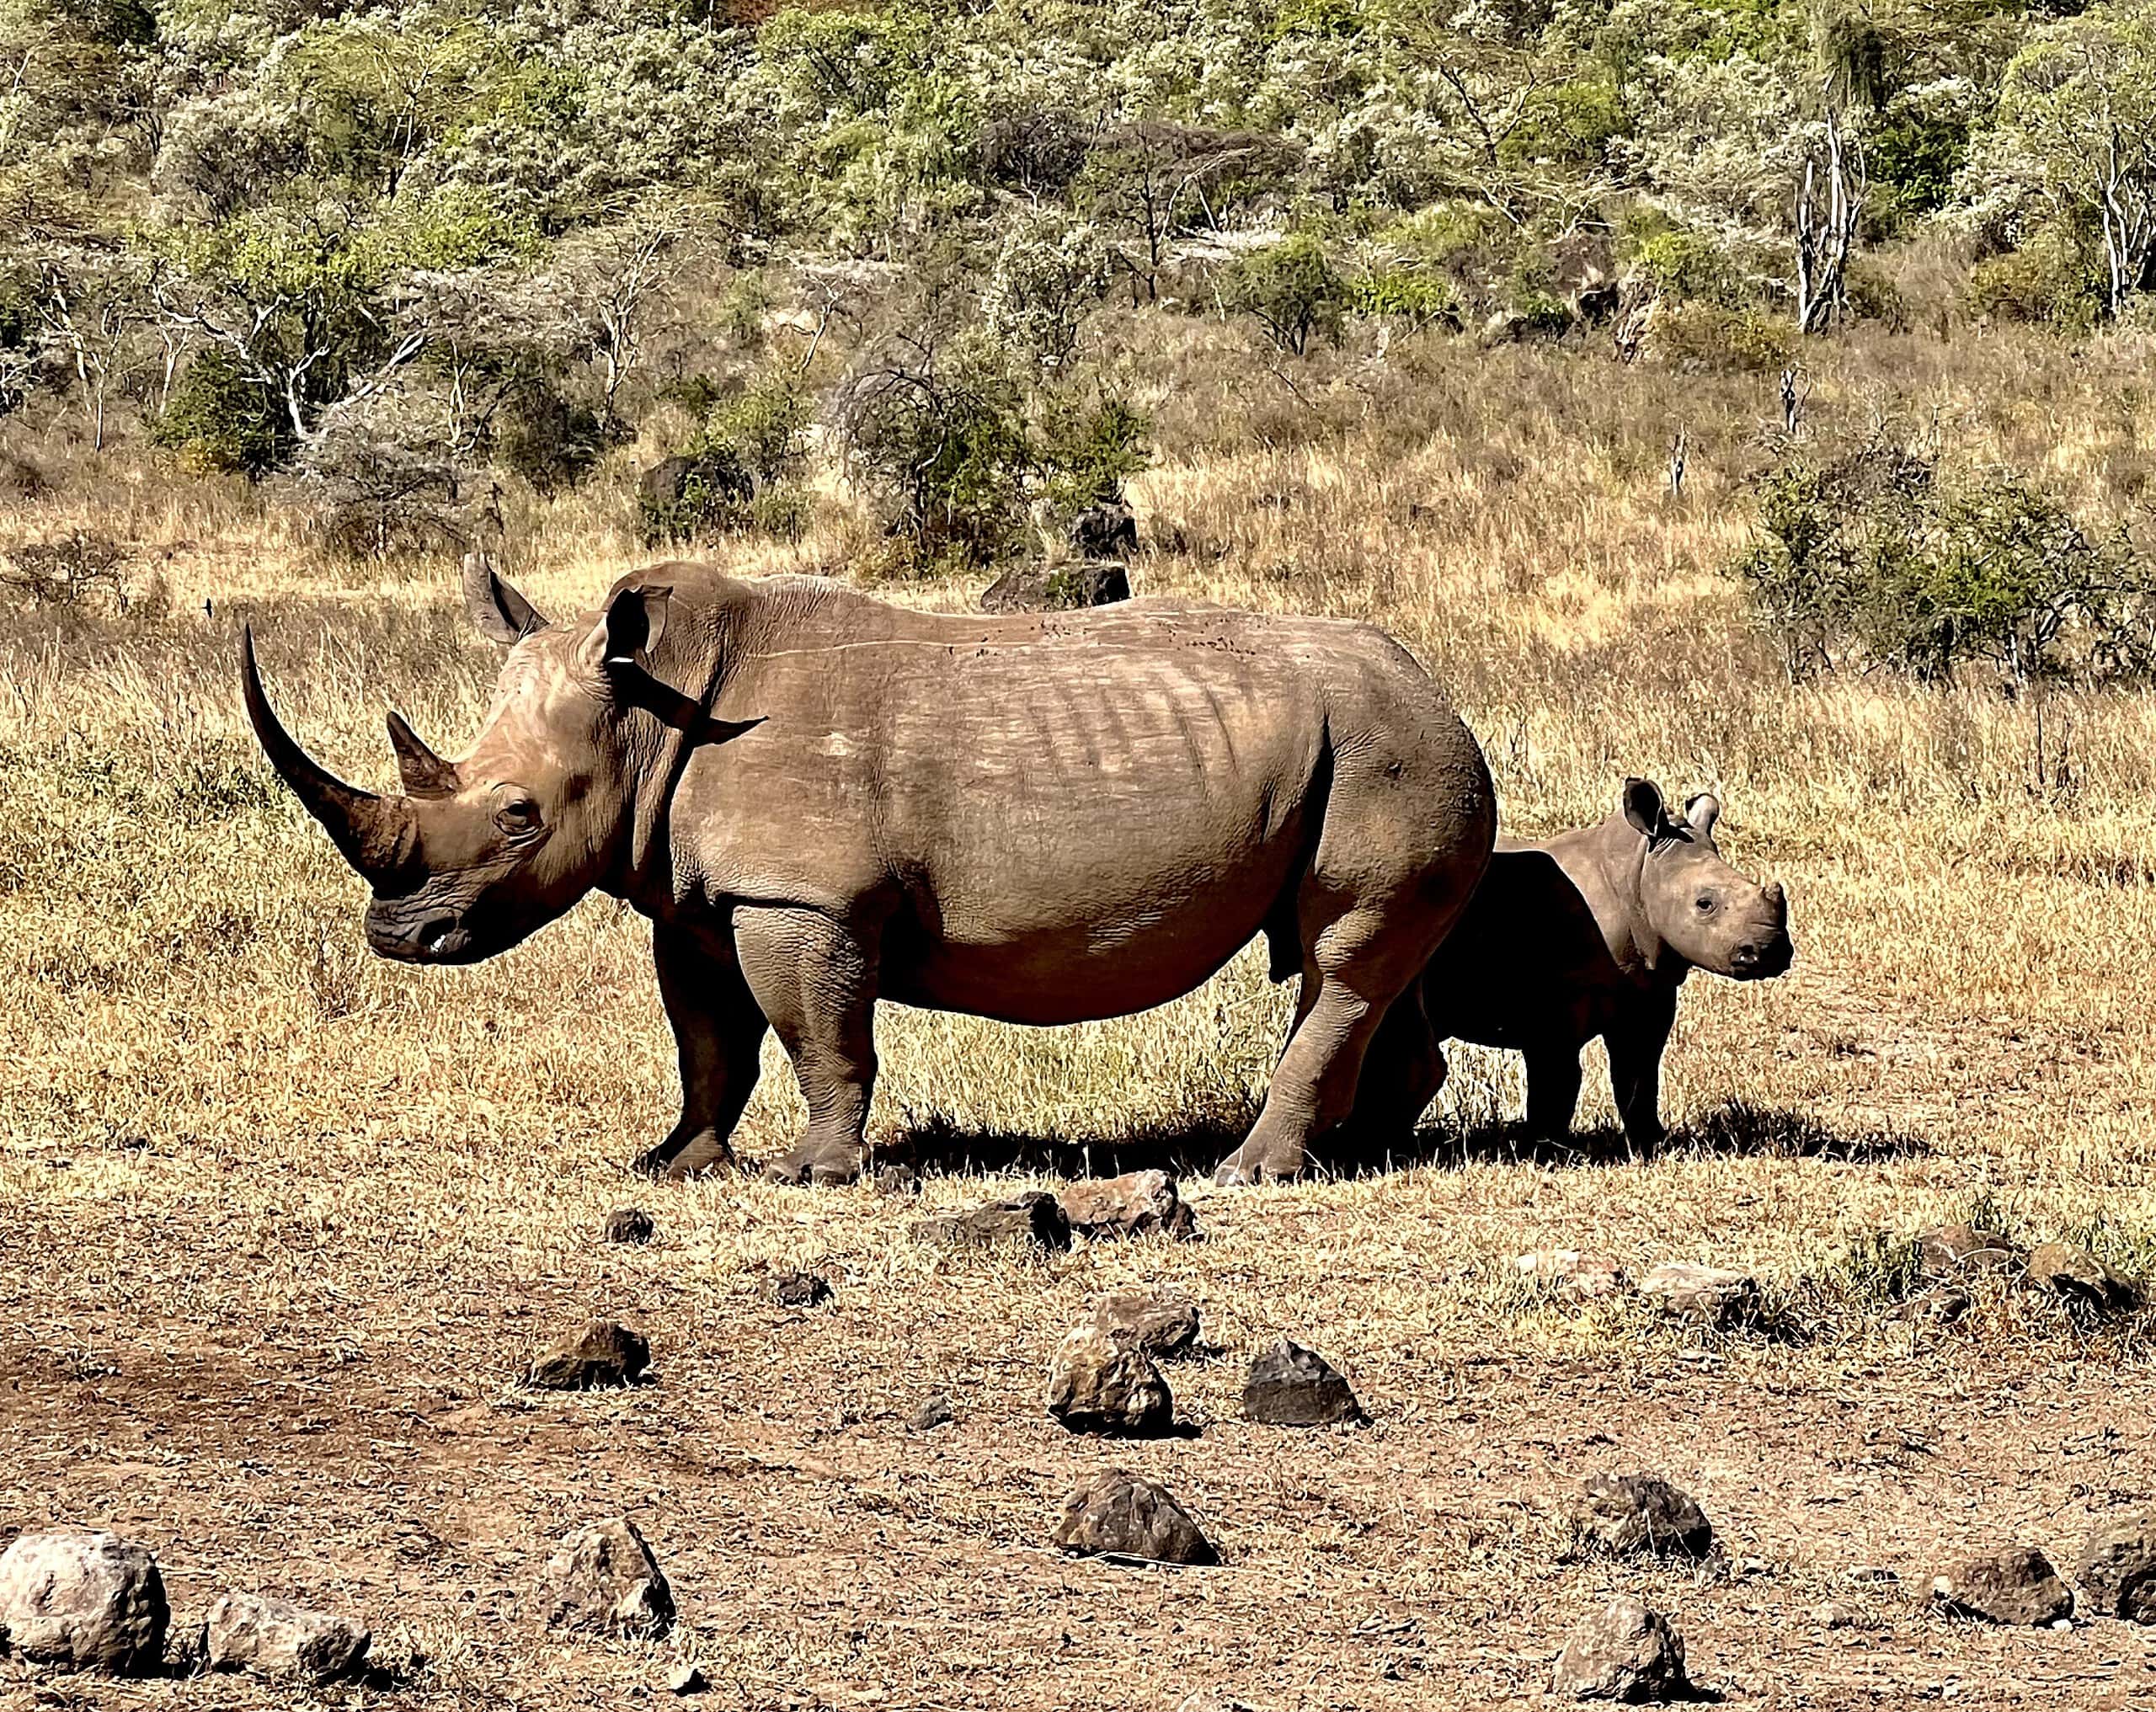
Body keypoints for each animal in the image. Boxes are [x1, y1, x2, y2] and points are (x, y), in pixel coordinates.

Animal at [242, 555, 1496, 1185]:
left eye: (516, 818)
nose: (397, 937)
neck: (647, 716)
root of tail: (1445, 692)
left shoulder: (803, 898)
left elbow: (818, 1035)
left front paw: (817, 1172)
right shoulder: (694, 900)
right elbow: (709, 1041)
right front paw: (674, 1163)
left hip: (1391, 752)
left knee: (1338, 957)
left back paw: (1253, 1172)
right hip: (1379, 748)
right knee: (1364, 964)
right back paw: (1363, 1152)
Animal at [1419, 779, 1792, 1146]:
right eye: (1704, 904)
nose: (1770, 951)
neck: (1638, 873)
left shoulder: (1650, 985)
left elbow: (1639, 1070)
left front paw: (1651, 1141)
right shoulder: (1555, 999)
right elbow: (1558, 1074)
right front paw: (1545, 1146)